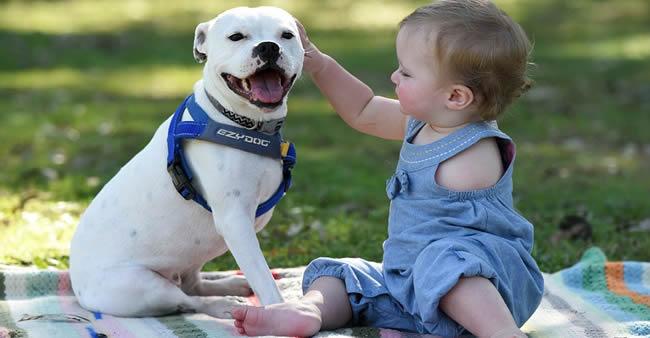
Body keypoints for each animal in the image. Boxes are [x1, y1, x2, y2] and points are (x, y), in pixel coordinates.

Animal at [69, 6, 302, 318]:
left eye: (286, 35)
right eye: (236, 37)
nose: (268, 47)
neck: (243, 124)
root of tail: (76, 285)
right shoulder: (235, 222)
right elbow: (263, 277)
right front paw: (282, 312)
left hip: (192, 255)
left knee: (193, 285)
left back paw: (230, 286)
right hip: (143, 286)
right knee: (187, 300)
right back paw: (225, 306)